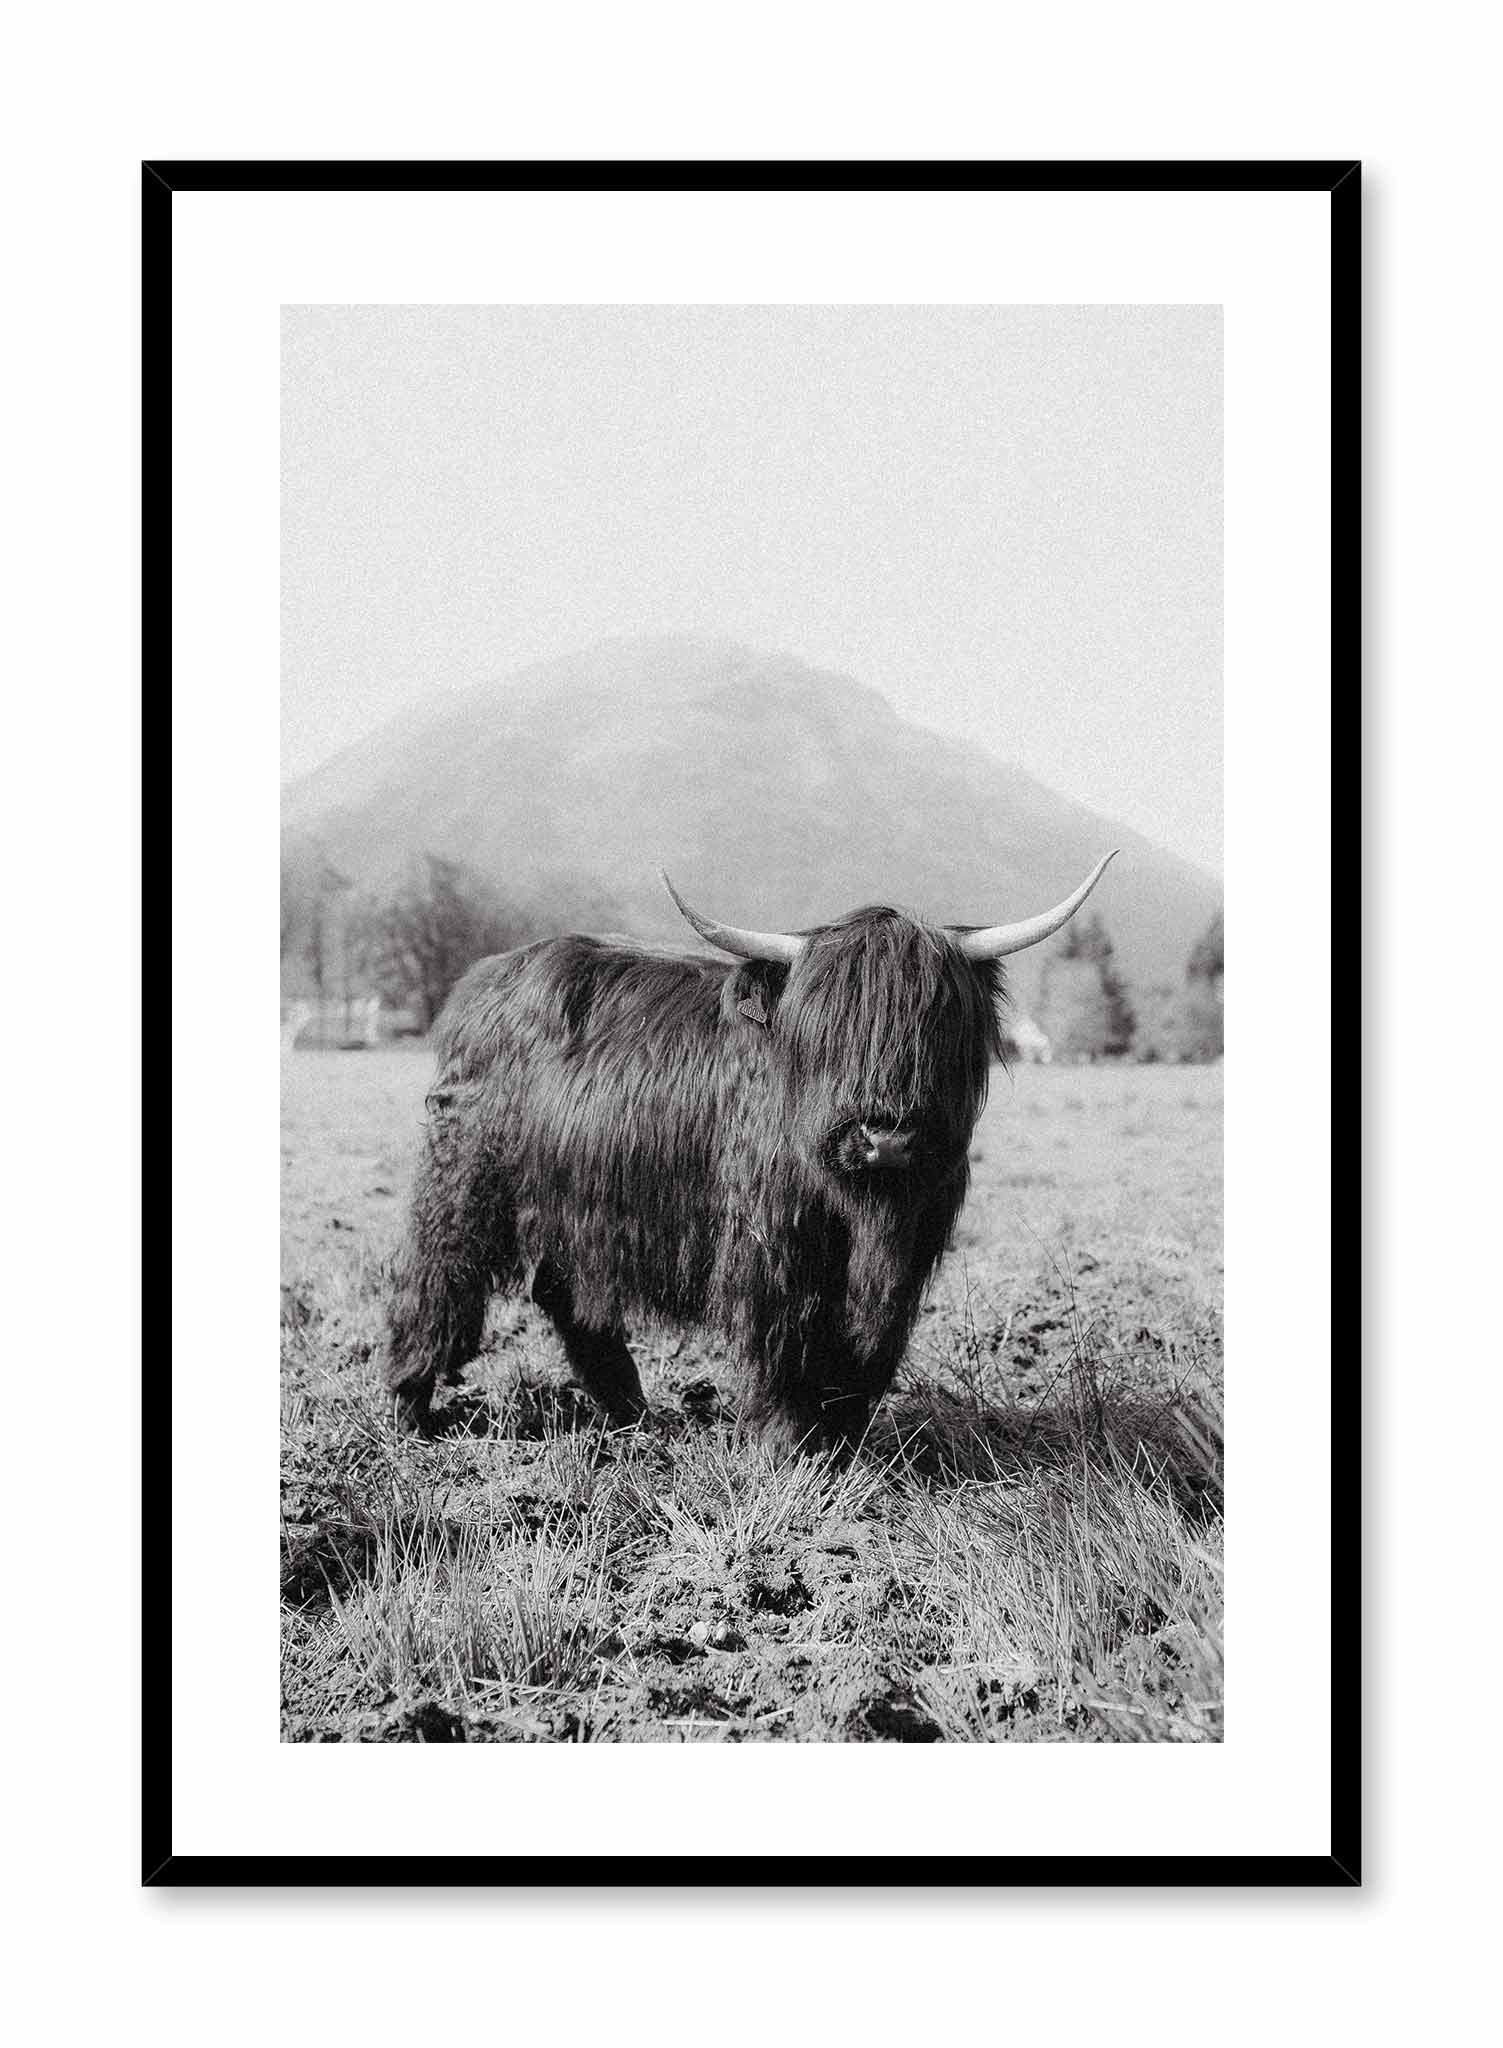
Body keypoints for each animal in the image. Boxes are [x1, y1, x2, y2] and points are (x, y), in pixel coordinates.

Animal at [389, 851, 1122, 1458]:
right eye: (828, 1027)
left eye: (935, 1022)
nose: (884, 1138)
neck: (862, 1211)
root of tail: (485, 980)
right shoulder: (769, 1246)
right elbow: (783, 1344)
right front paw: (787, 1449)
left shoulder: (908, 1255)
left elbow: (868, 1352)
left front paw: (845, 1443)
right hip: (466, 1180)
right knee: (438, 1276)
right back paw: (410, 1409)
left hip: (572, 1206)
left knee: (565, 1296)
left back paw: (629, 1413)